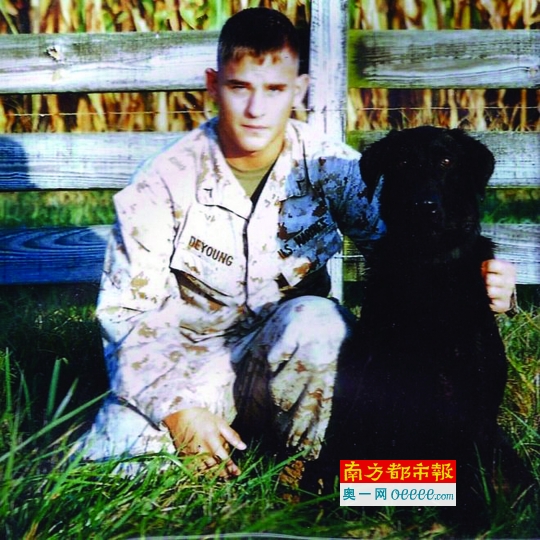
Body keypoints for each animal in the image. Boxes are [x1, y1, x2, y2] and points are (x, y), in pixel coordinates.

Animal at [337, 127, 513, 523]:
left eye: (446, 161)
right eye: (402, 162)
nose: (425, 206)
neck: (427, 263)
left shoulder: (475, 389)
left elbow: (473, 457)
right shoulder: (378, 370)